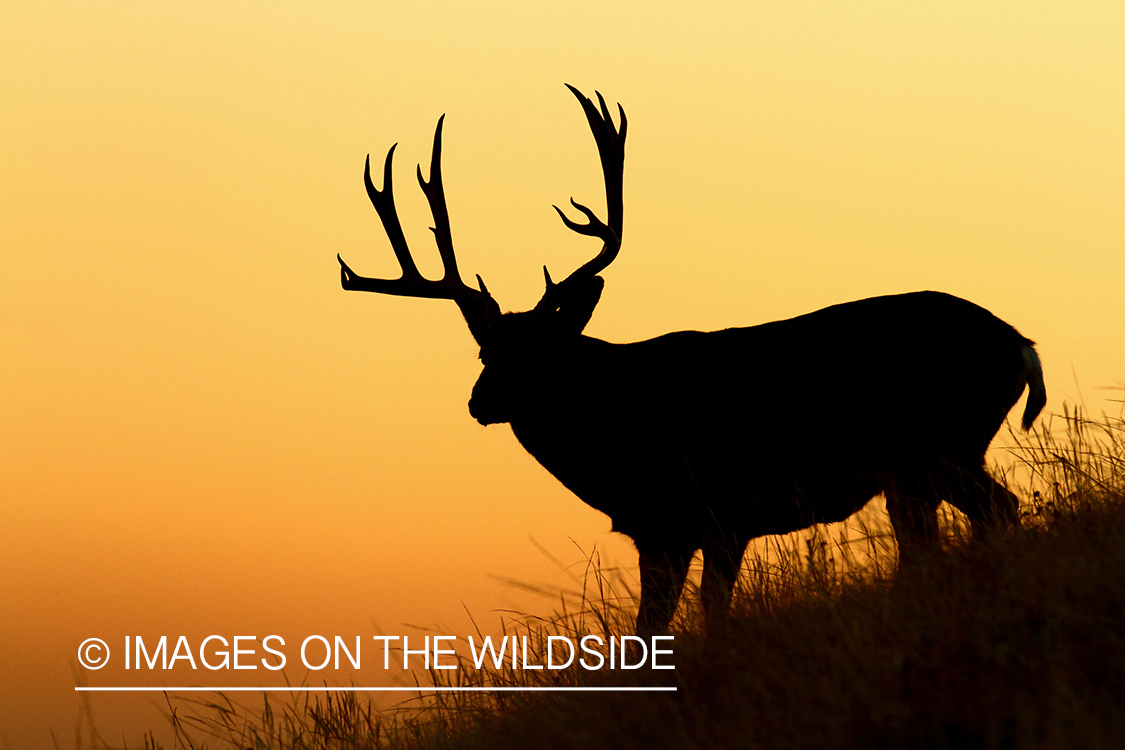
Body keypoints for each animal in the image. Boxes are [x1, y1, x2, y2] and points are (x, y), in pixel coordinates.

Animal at [337, 86, 1047, 637]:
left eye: (547, 350)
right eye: (486, 350)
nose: (479, 402)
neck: (618, 430)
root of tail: (1020, 342)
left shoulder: (721, 511)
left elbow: (709, 613)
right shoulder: (661, 531)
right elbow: (650, 625)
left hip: (940, 445)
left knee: (989, 515)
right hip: (924, 463)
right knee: (952, 533)